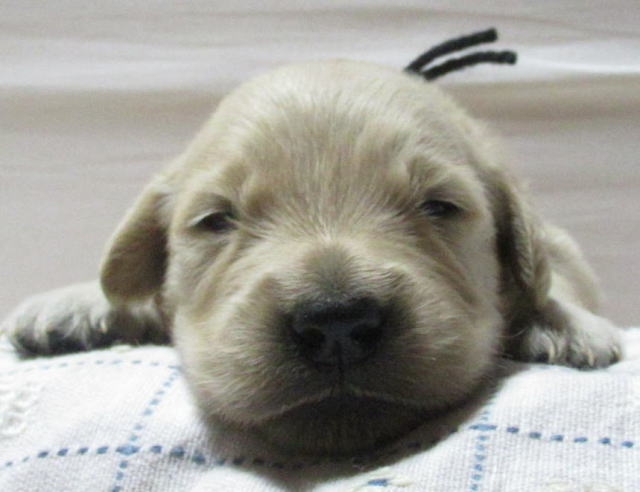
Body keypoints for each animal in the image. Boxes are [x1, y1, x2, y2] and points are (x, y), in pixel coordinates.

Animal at [1, 59, 622, 455]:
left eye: (440, 206)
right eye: (216, 220)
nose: (336, 324)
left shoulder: (559, 245)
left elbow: (554, 278)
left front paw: (562, 321)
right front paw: (75, 303)